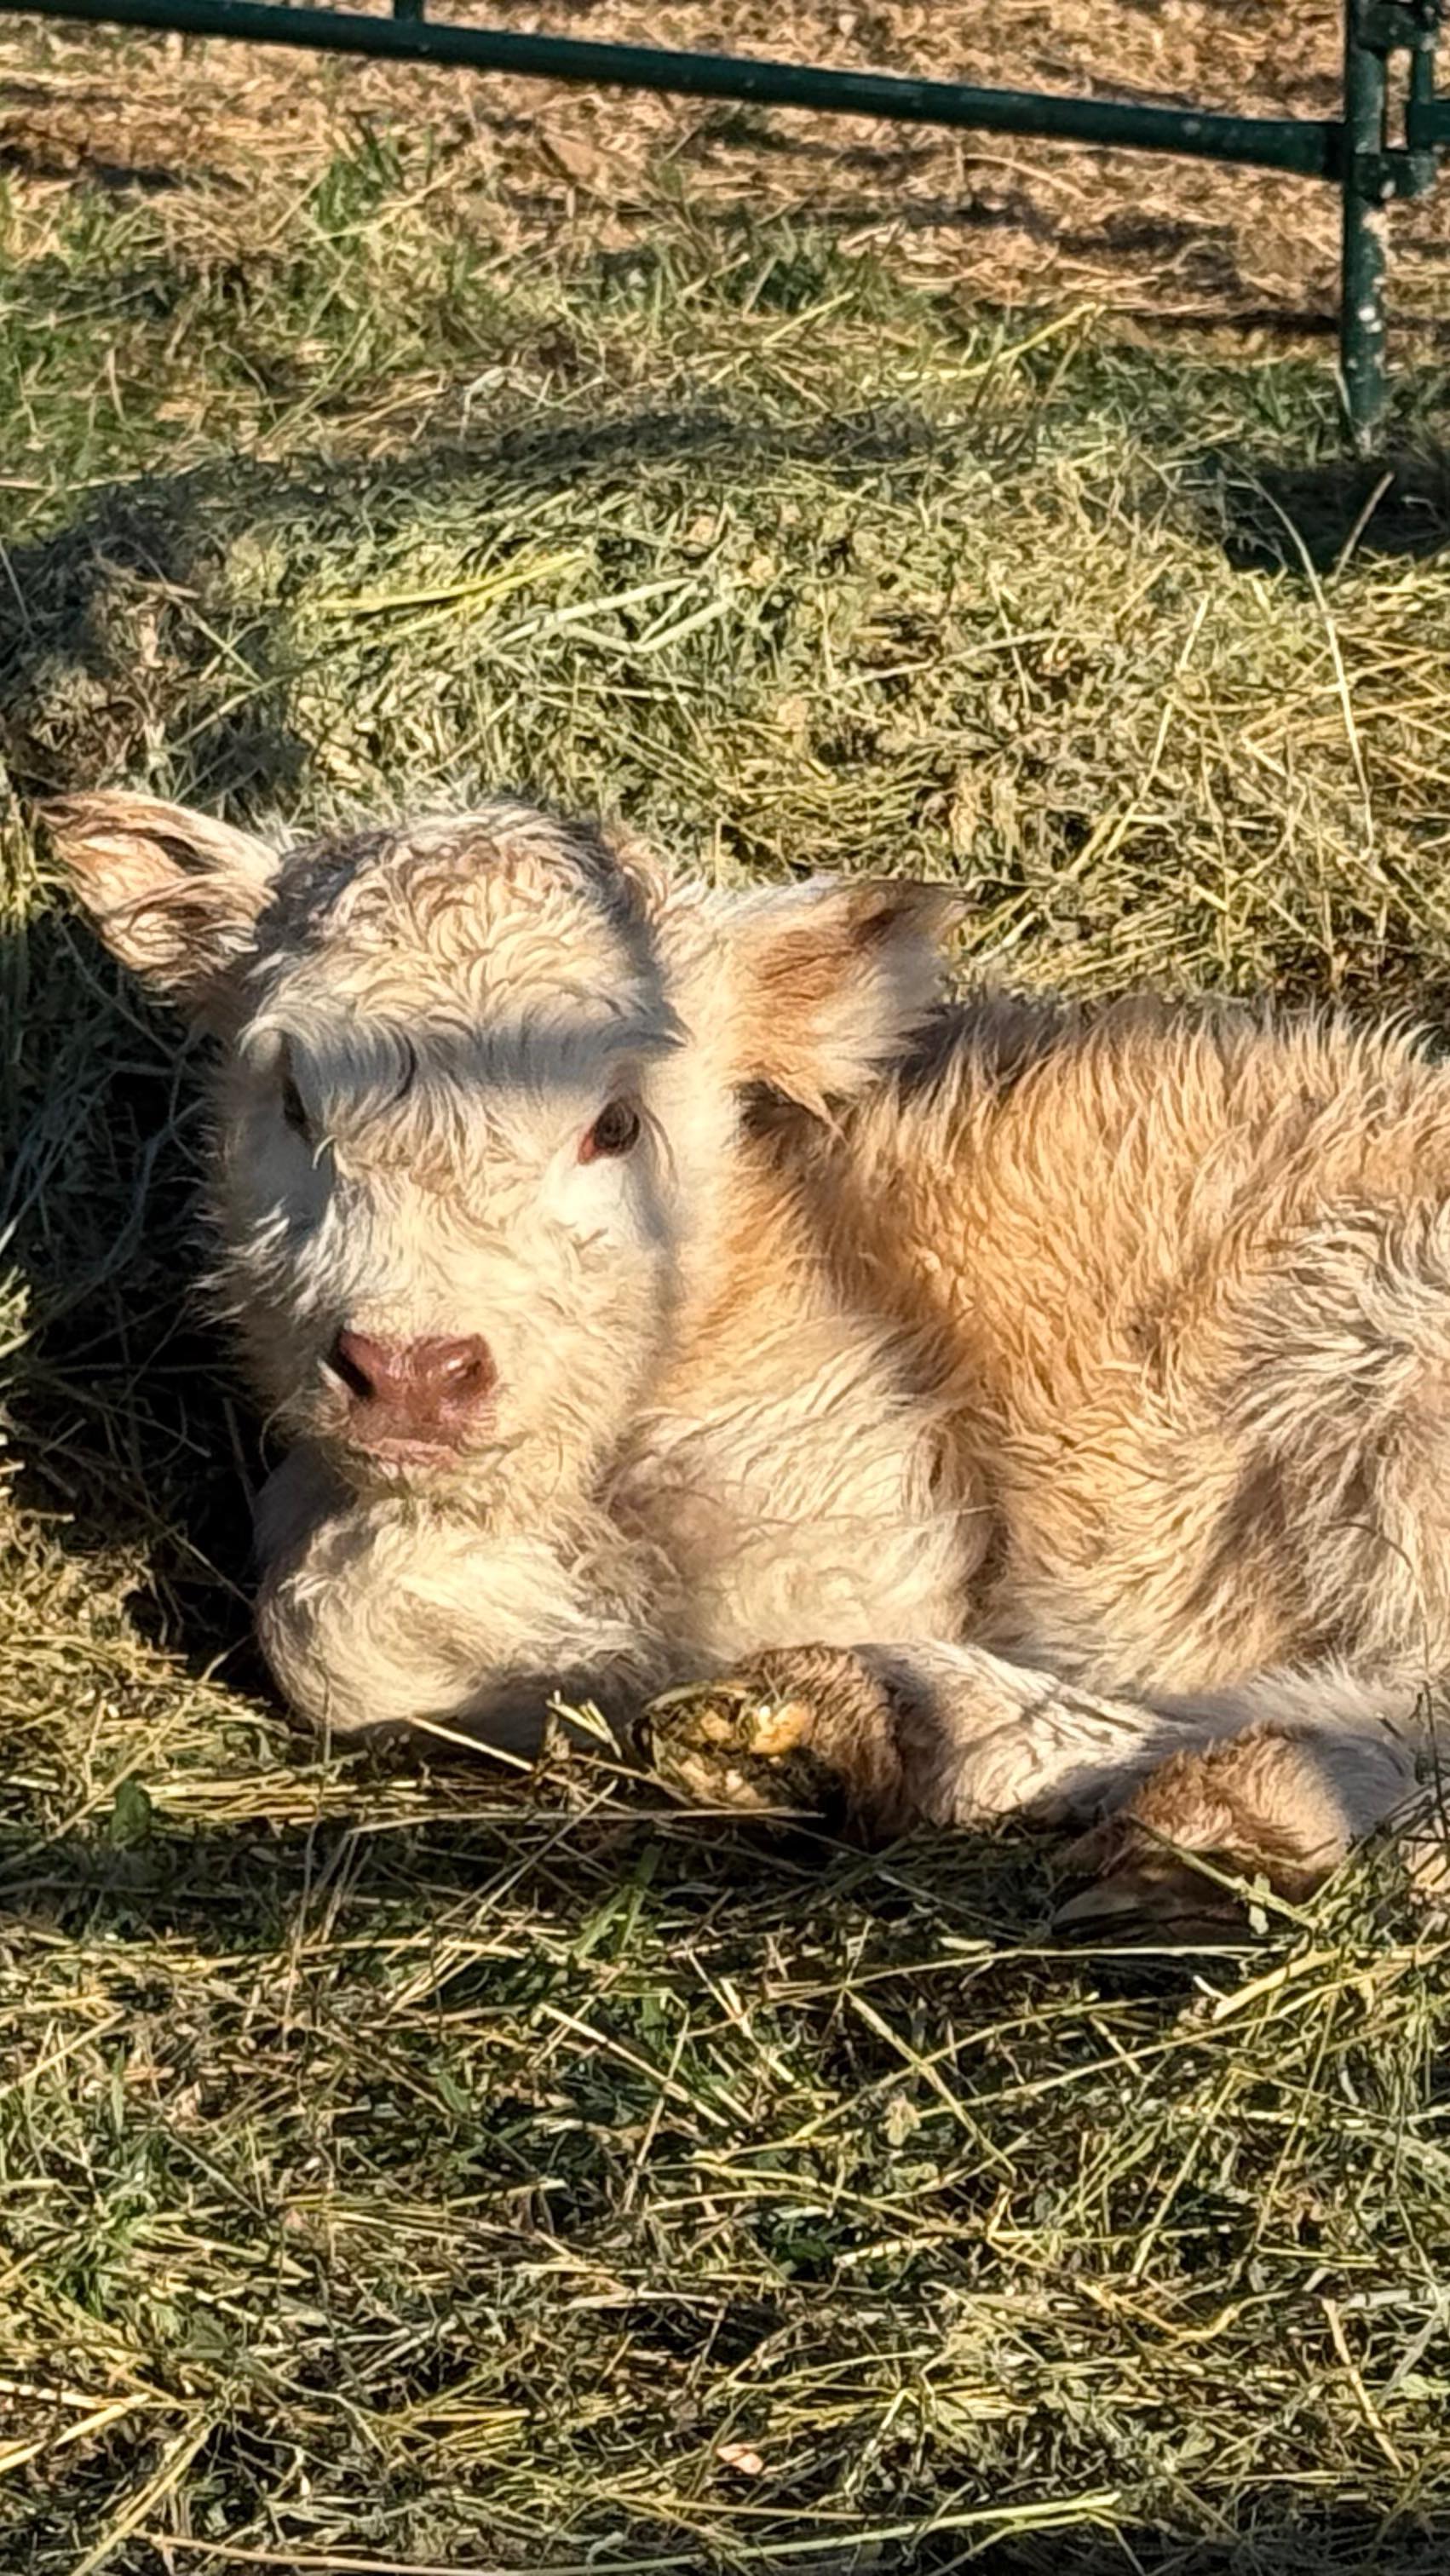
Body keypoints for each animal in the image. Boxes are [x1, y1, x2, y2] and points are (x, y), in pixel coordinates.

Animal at [53, 789, 1447, 1932]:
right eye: (293, 1102)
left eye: (616, 1125)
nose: (407, 1367)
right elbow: (321, 1601)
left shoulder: (867, 1517)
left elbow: (339, 1621)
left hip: (1381, 1370)